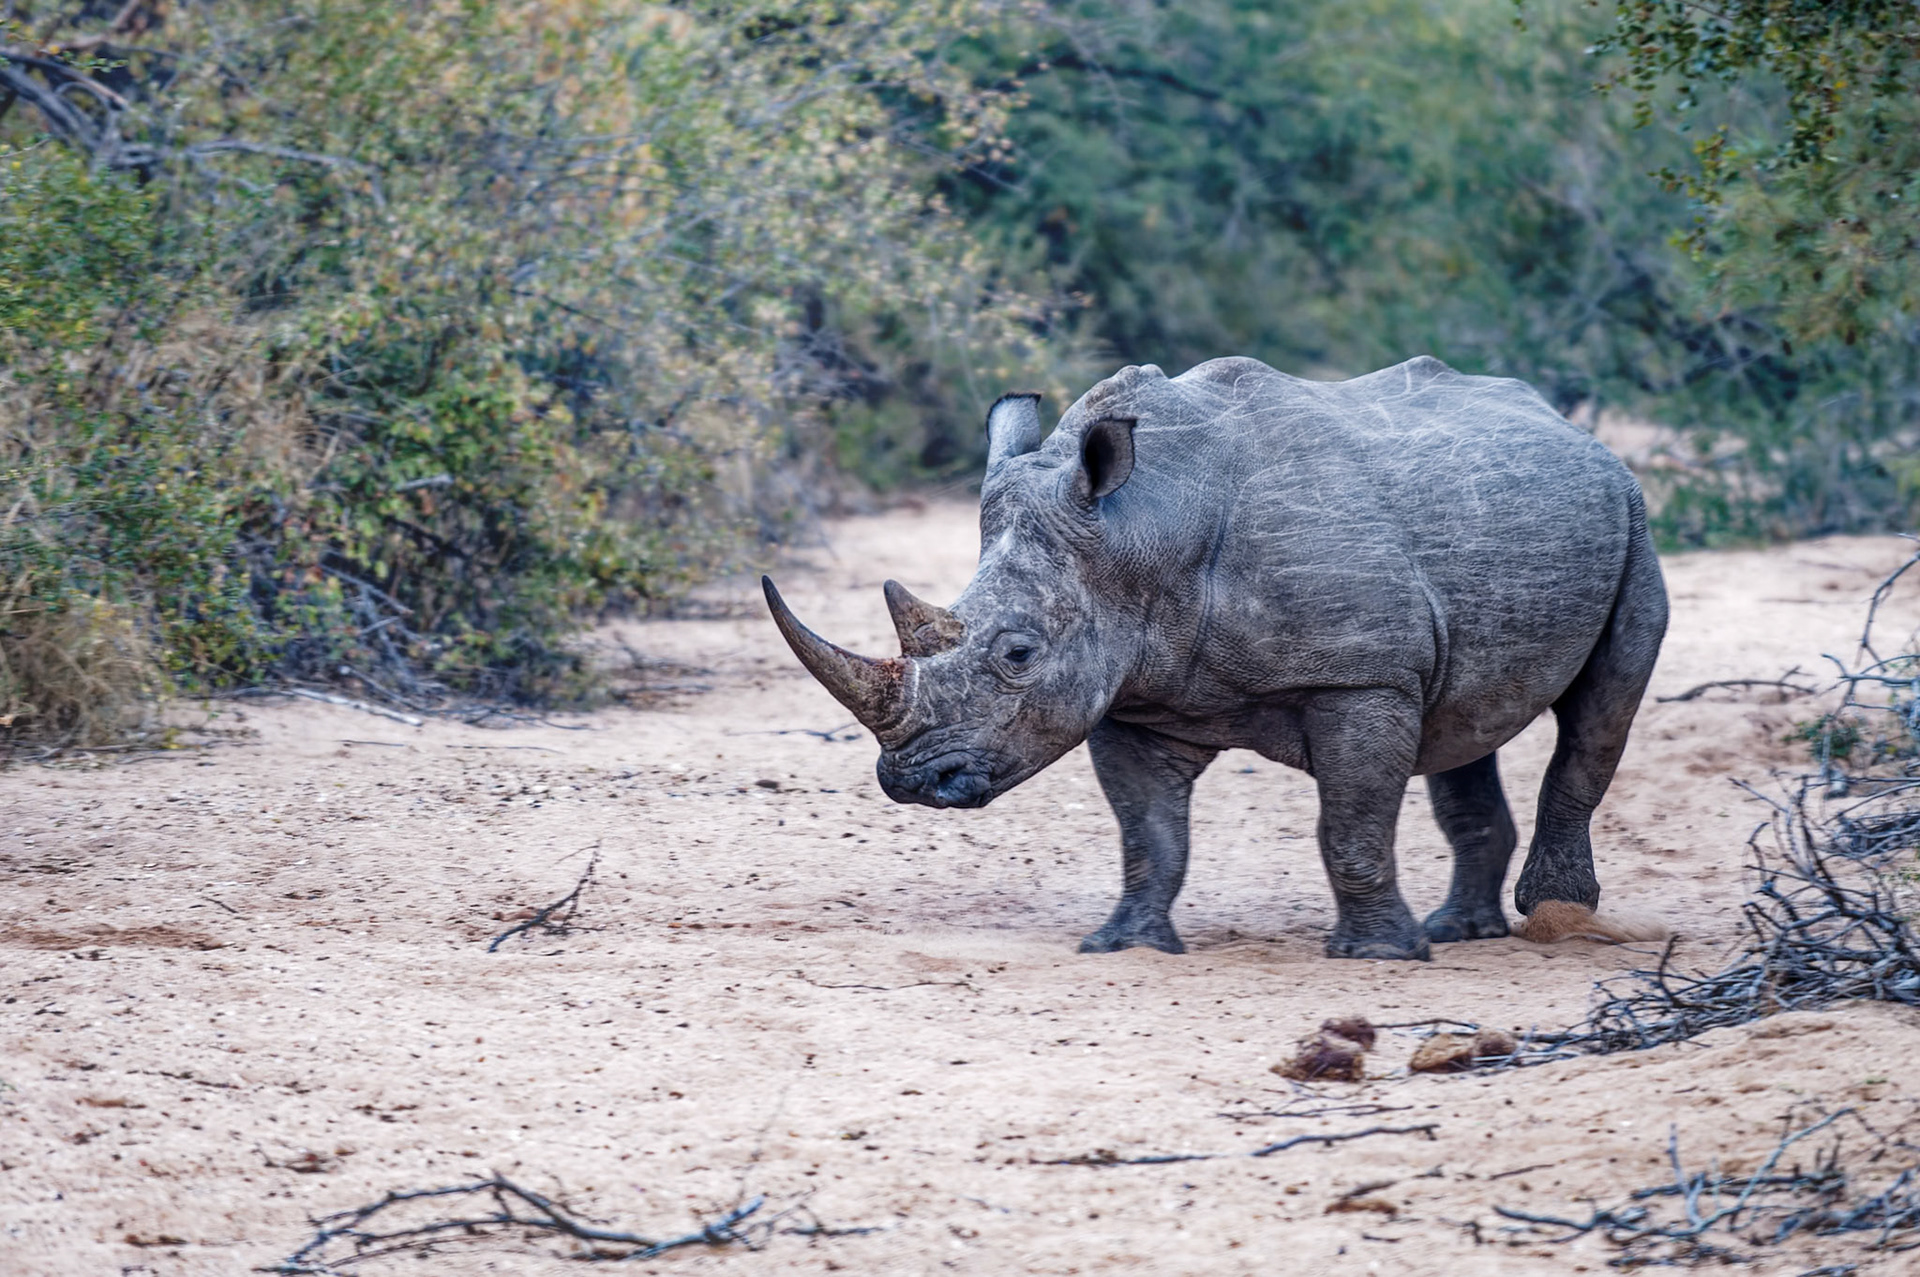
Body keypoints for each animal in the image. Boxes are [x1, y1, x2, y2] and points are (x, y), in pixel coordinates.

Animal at [763, 356, 1668, 960]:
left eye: (1017, 652)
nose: (913, 781)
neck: (1137, 529)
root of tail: (1572, 428)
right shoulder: (1128, 688)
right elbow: (1147, 832)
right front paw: (1127, 944)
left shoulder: (1360, 675)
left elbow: (1352, 822)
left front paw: (1378, 956)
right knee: (1463, 727)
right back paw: (1463, 931)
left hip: (1632, 513)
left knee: (1601, 708)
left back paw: (1553, 921)